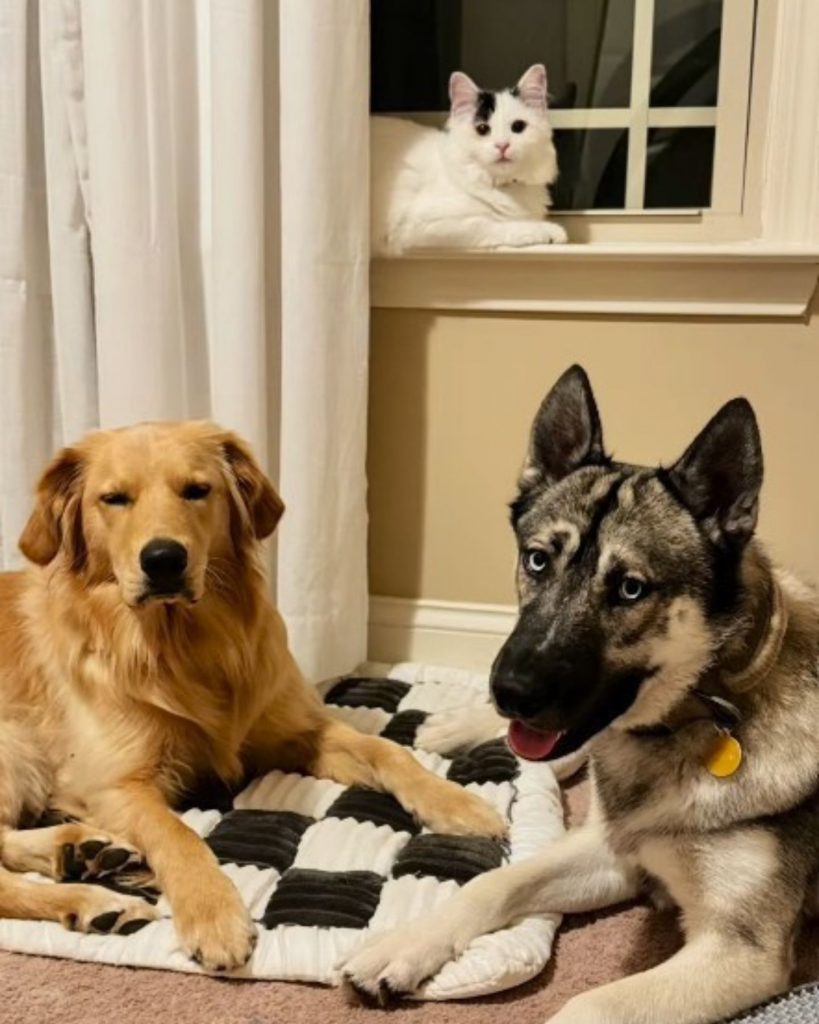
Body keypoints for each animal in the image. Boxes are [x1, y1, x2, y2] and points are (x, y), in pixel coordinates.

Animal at [339, 368, 819, 1024]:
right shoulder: (610, 849)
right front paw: (406, 943)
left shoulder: (740, 950)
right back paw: (457, 725)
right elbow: (492, 883)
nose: (510, 692)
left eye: (630, 589)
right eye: (537, 560)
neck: (702, 712)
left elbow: (587, 1006)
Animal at [372, 63, 569, 256]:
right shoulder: (421, 225)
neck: (503, 188)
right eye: (482, 129)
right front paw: (548, 230)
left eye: (518, 126)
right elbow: (495, 224)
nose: (502, 145)